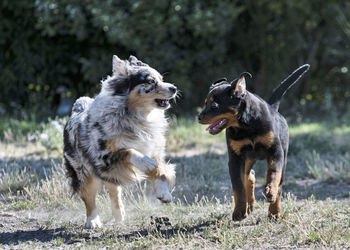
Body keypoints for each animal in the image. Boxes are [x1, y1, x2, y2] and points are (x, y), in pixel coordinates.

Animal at [198, 65, 310, 221]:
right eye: (205, 103)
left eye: (214, 106)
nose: (198, 117)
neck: (246, 125)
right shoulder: (235, 159)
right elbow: (238, 187)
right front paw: (239, 211)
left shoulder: (276, 152)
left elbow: (274, 174)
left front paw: (270, 192)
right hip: (248, 159)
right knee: (249, 176)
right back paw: (249, 206)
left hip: (283, 157)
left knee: (279, 183)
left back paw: (274, 212)